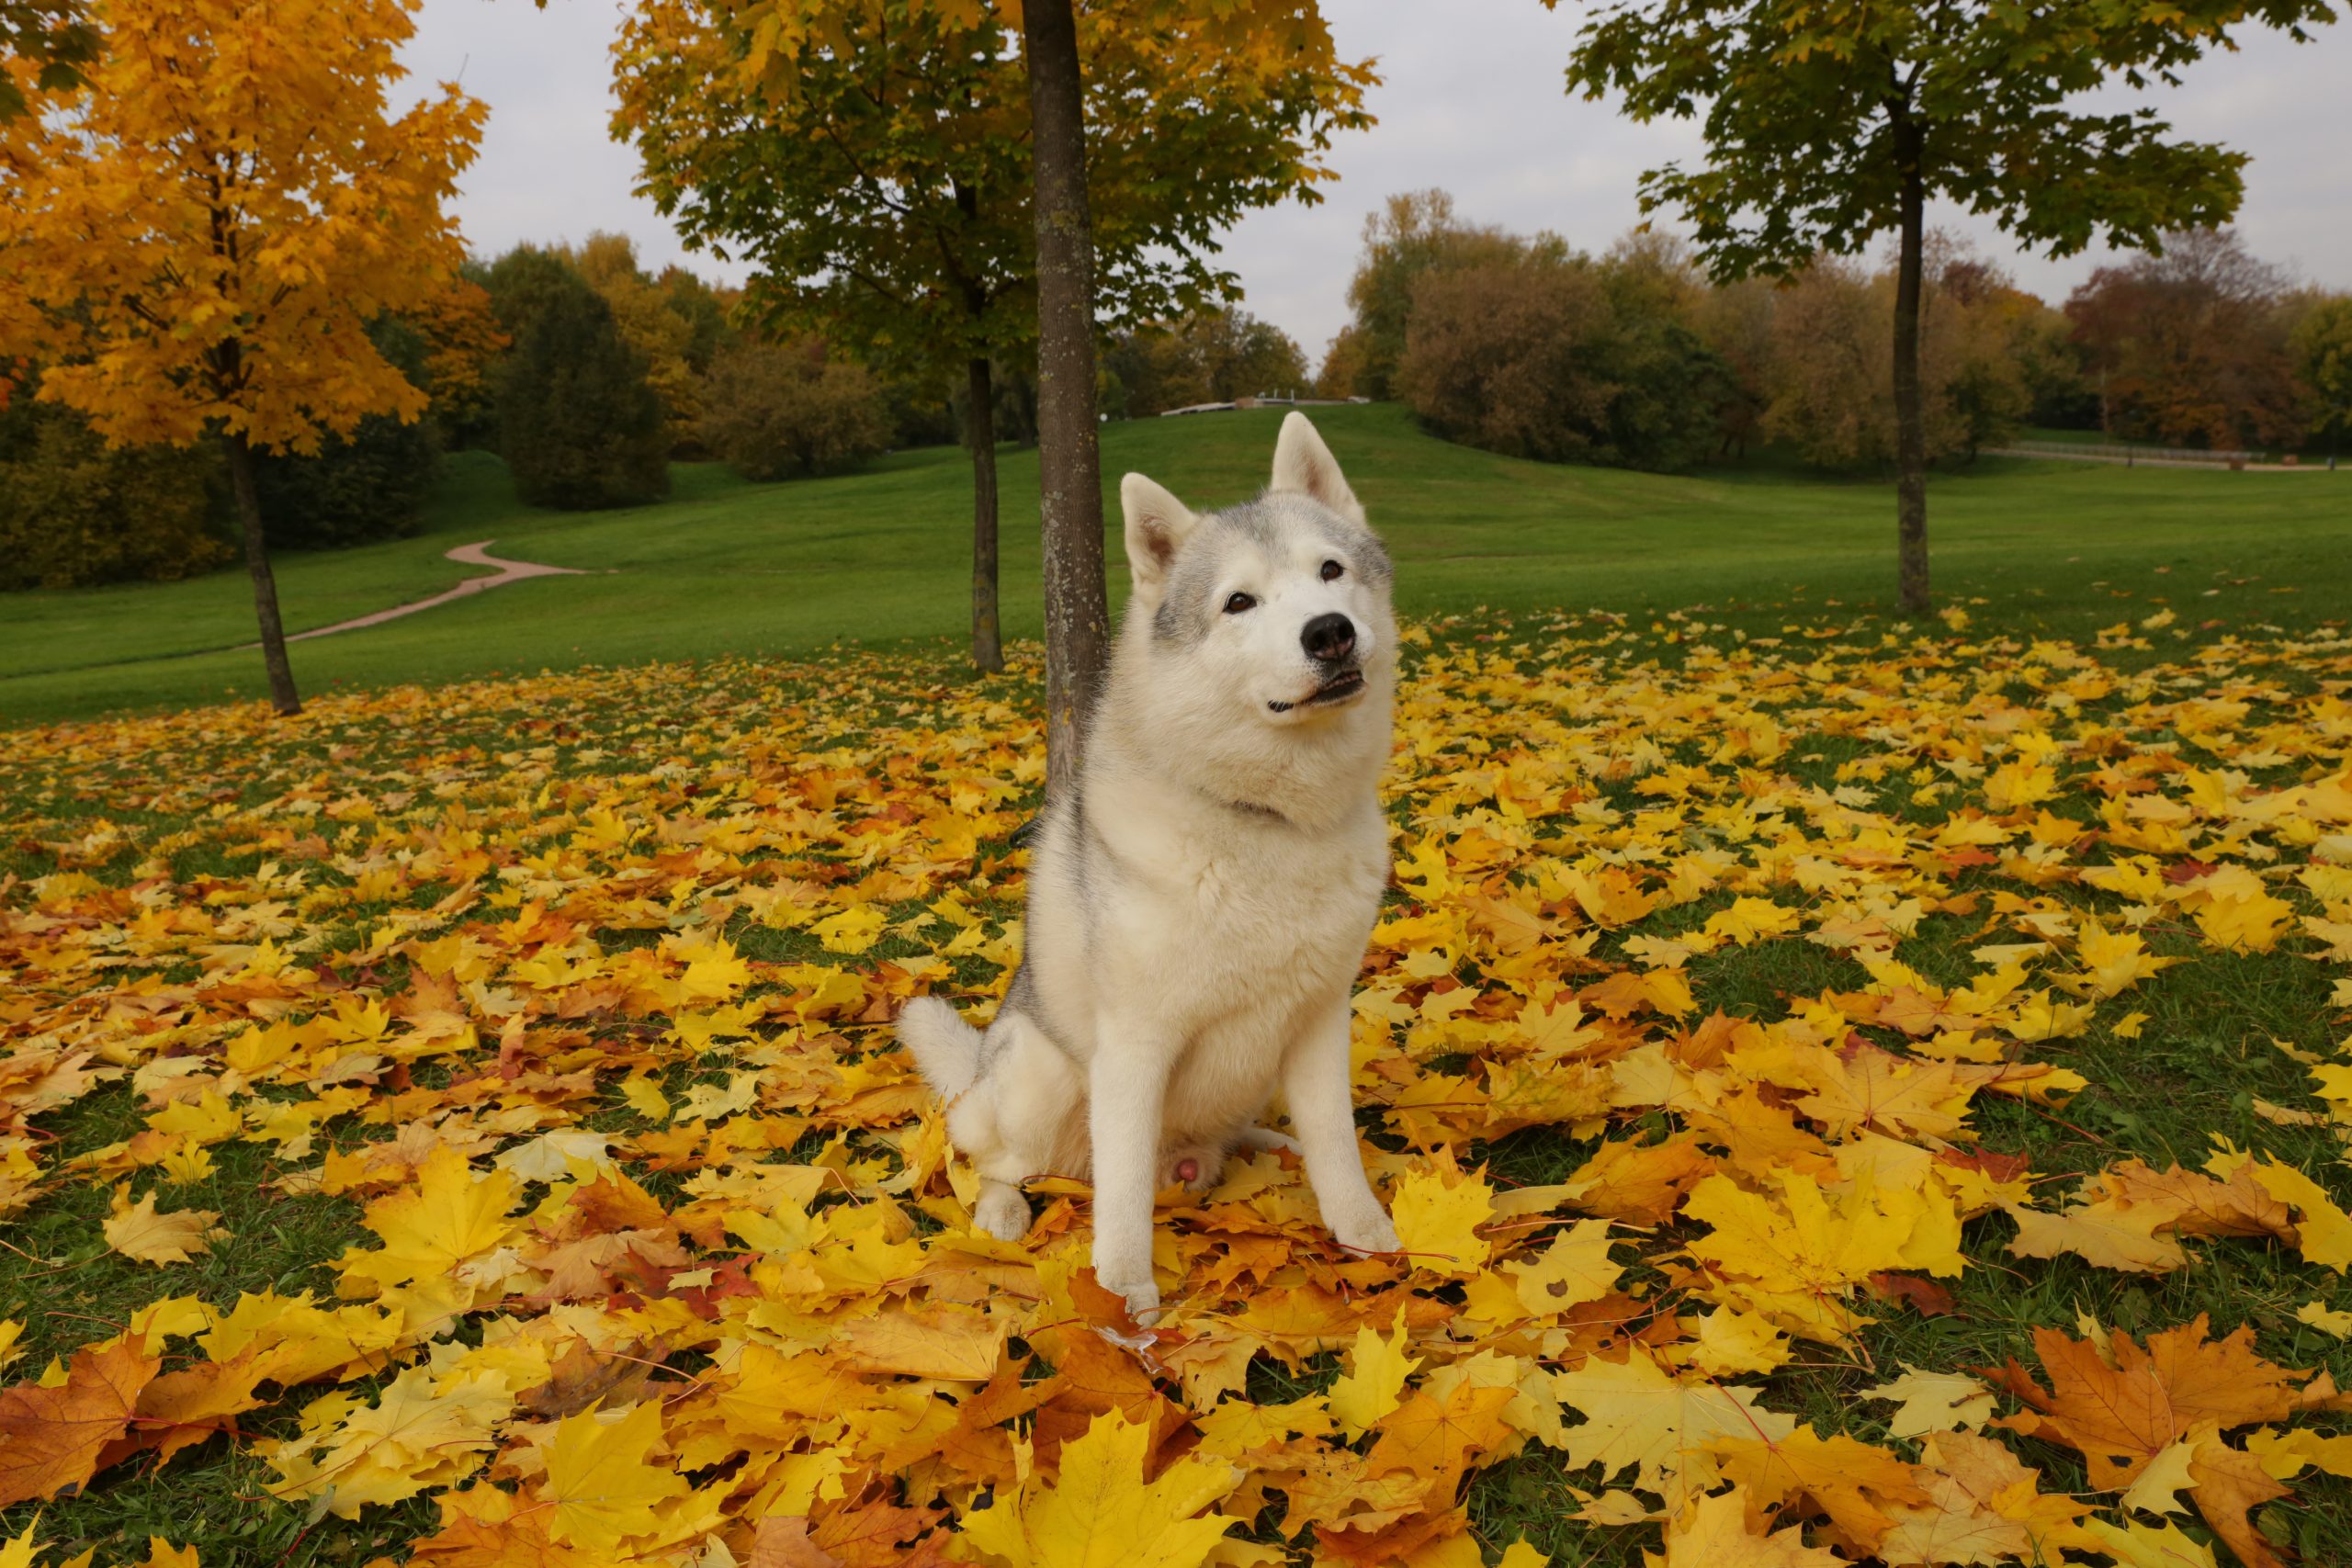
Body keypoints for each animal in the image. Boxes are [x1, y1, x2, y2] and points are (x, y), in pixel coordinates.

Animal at [903, 411, 1401, 1316]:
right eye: (1238, 601)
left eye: (1330, 570)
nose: (1329, 631)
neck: (1266, 823)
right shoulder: (1135, 1046)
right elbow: (1126, 1194)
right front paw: (1123, 1298)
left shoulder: (1320, 1018)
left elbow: (1337, 1143)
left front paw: (1366, 1235)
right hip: (1037, 1075)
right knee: (995, 1160)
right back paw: (1000, 1209)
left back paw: (1266, 1141)